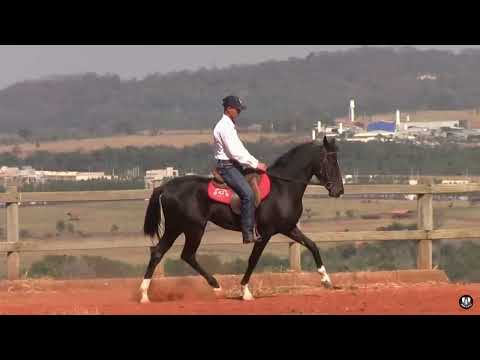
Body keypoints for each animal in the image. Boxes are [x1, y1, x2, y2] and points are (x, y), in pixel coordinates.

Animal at [140, 136, 344, 302]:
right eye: (330, 161)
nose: (339, 190)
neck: (282, 187)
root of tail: (165, 188)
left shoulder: (289, 228)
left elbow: (312, 245)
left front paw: (326, 280)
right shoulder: (265, 233)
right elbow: (253, 260)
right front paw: (245, 292)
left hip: (177, 228)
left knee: (159, 252)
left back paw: (144, 295)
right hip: (192, 228)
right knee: (185, 254)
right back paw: (215, 286)